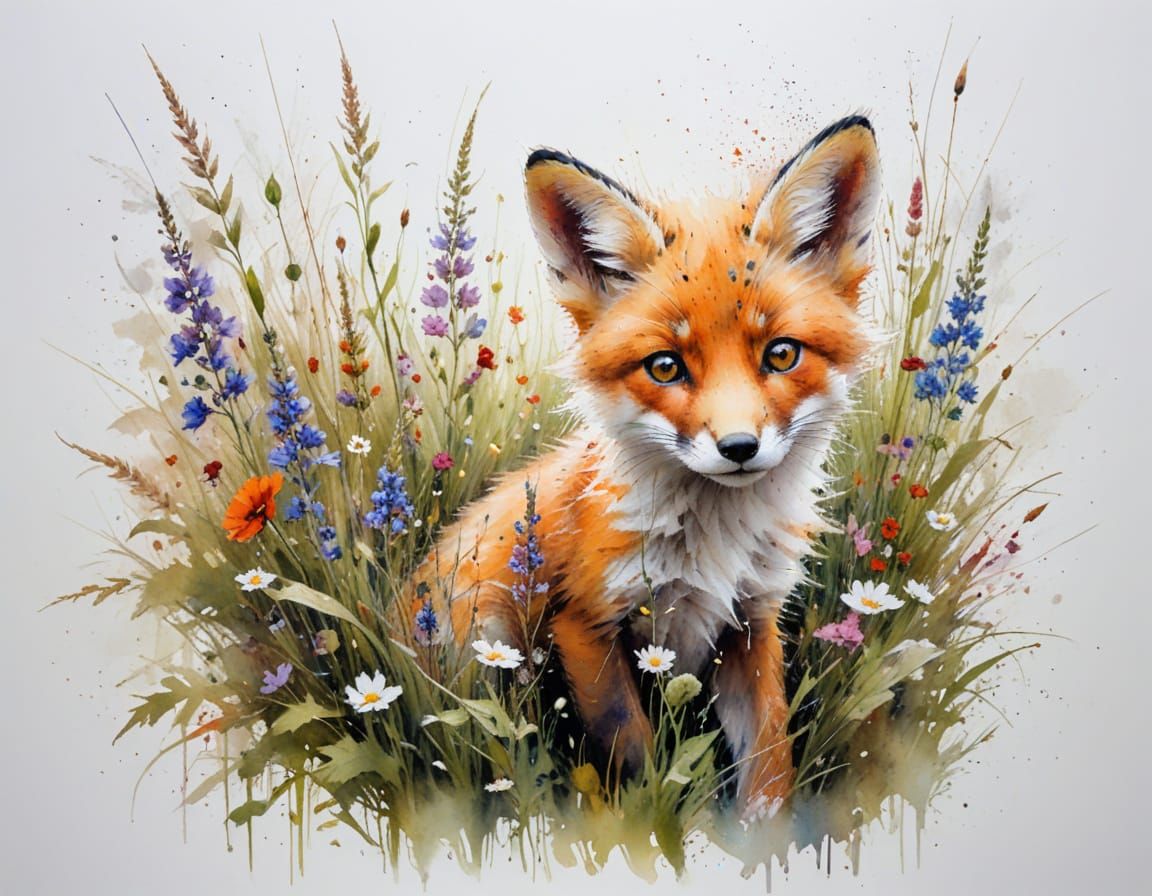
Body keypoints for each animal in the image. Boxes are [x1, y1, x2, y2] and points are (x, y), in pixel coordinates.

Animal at [409, 115, 880, 818]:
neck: (713, 546)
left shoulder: (750, 623)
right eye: (665, 366)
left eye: (781, 354)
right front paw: (652, 828)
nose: (739, 447)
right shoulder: (584, 624)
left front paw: (763, 834)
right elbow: (637, 760)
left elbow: (770, 764)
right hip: (483, 635)